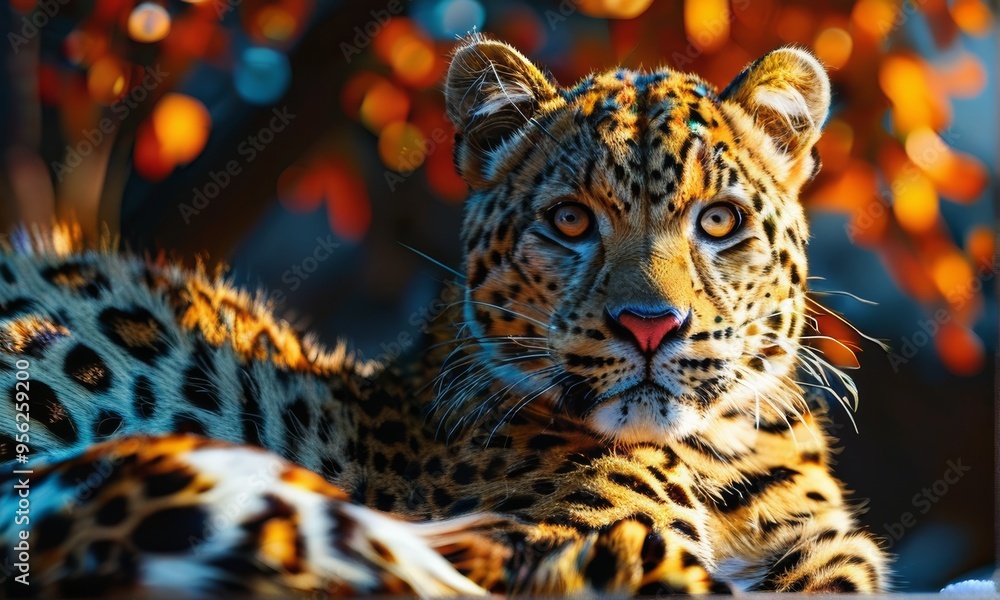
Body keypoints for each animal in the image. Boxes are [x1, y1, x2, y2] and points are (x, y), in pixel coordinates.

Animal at [0, 36, 889, 596]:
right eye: (571, 221)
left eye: (719, 221)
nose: (649, 325)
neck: (723, 456)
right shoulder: (591, 536)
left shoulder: (827, 546)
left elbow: (843, 566)